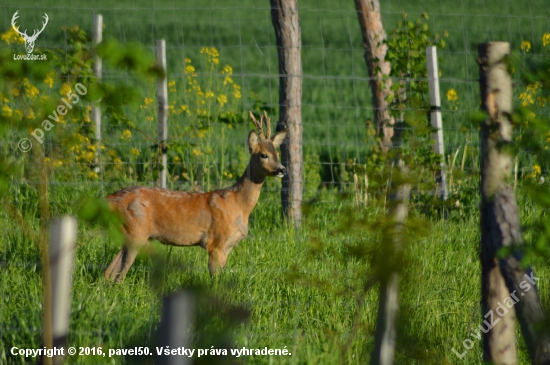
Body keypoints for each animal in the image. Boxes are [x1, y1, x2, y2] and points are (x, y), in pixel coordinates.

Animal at [106, 111, 288, 282]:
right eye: (264, 154)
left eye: (278, 154)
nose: (282, 169)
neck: (239, 206)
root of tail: (110, 198)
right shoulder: (215, 241)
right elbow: (215, 278)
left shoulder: (228, 246)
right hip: (136, 230)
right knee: (118, 273)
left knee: (108, 272)